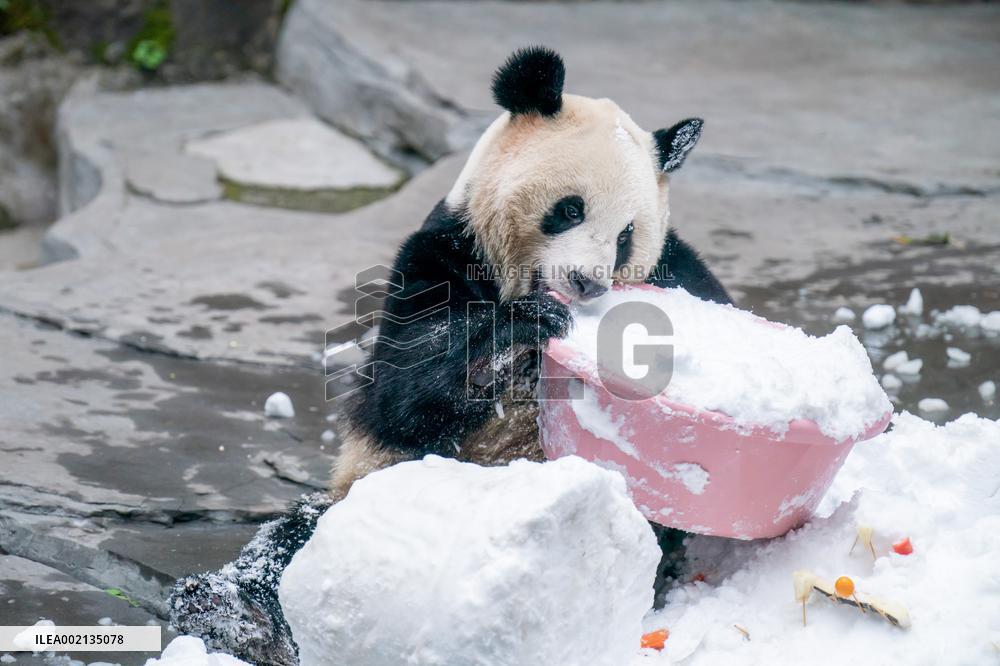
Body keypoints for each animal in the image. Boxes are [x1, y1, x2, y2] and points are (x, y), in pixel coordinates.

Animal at [169, 46, 730, 666]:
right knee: (295, 542)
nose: (587, 283)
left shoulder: (680, 271)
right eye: (570, 209)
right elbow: (404, 394)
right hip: (371, 485)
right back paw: (233, 613)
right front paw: (519, 328)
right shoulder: (441, 253)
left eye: (627, 234)